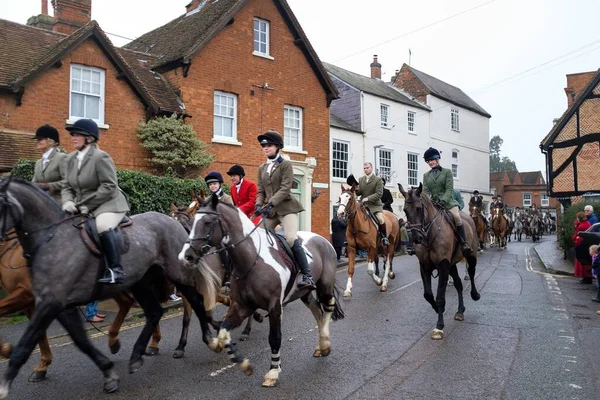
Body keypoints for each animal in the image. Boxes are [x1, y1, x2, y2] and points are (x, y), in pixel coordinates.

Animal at [0, 178, 218, 396]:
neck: (52, 239)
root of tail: (172, 224)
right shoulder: (57, 304)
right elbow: (79, 340)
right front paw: (107, 372)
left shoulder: (48, 301)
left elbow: (25, 344)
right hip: (141, 282)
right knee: (155, 311)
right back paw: (136, 352)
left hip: (175, 275)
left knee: (194, 301)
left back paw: (207, 338)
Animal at [179, 195, 342, 388]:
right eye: (191, 223)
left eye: (207, 222)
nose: (186, 256)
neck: (252, 259)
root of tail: (323, 239)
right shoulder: (242, 306)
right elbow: (224, 331)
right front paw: (243, 363)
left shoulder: (274, 306)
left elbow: (275, 337)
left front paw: (273, 371)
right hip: (305, 294)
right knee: (317, 312)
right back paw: (320, 347)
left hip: (325, 286)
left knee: (327, 311)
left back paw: (325, 344)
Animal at [398, 183, 482, 340]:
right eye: (405, 210)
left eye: (419, 208)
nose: (416, 238)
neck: (429, 235)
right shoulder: (425, 267)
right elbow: (428, 295)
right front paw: (437, 310)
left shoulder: (443, 265)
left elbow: (440, 297)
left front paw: (439, 327)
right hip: (452, 265)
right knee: (458, 284)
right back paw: (460, 311)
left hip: (471, 255)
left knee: (472, 273)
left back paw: (475, 294)